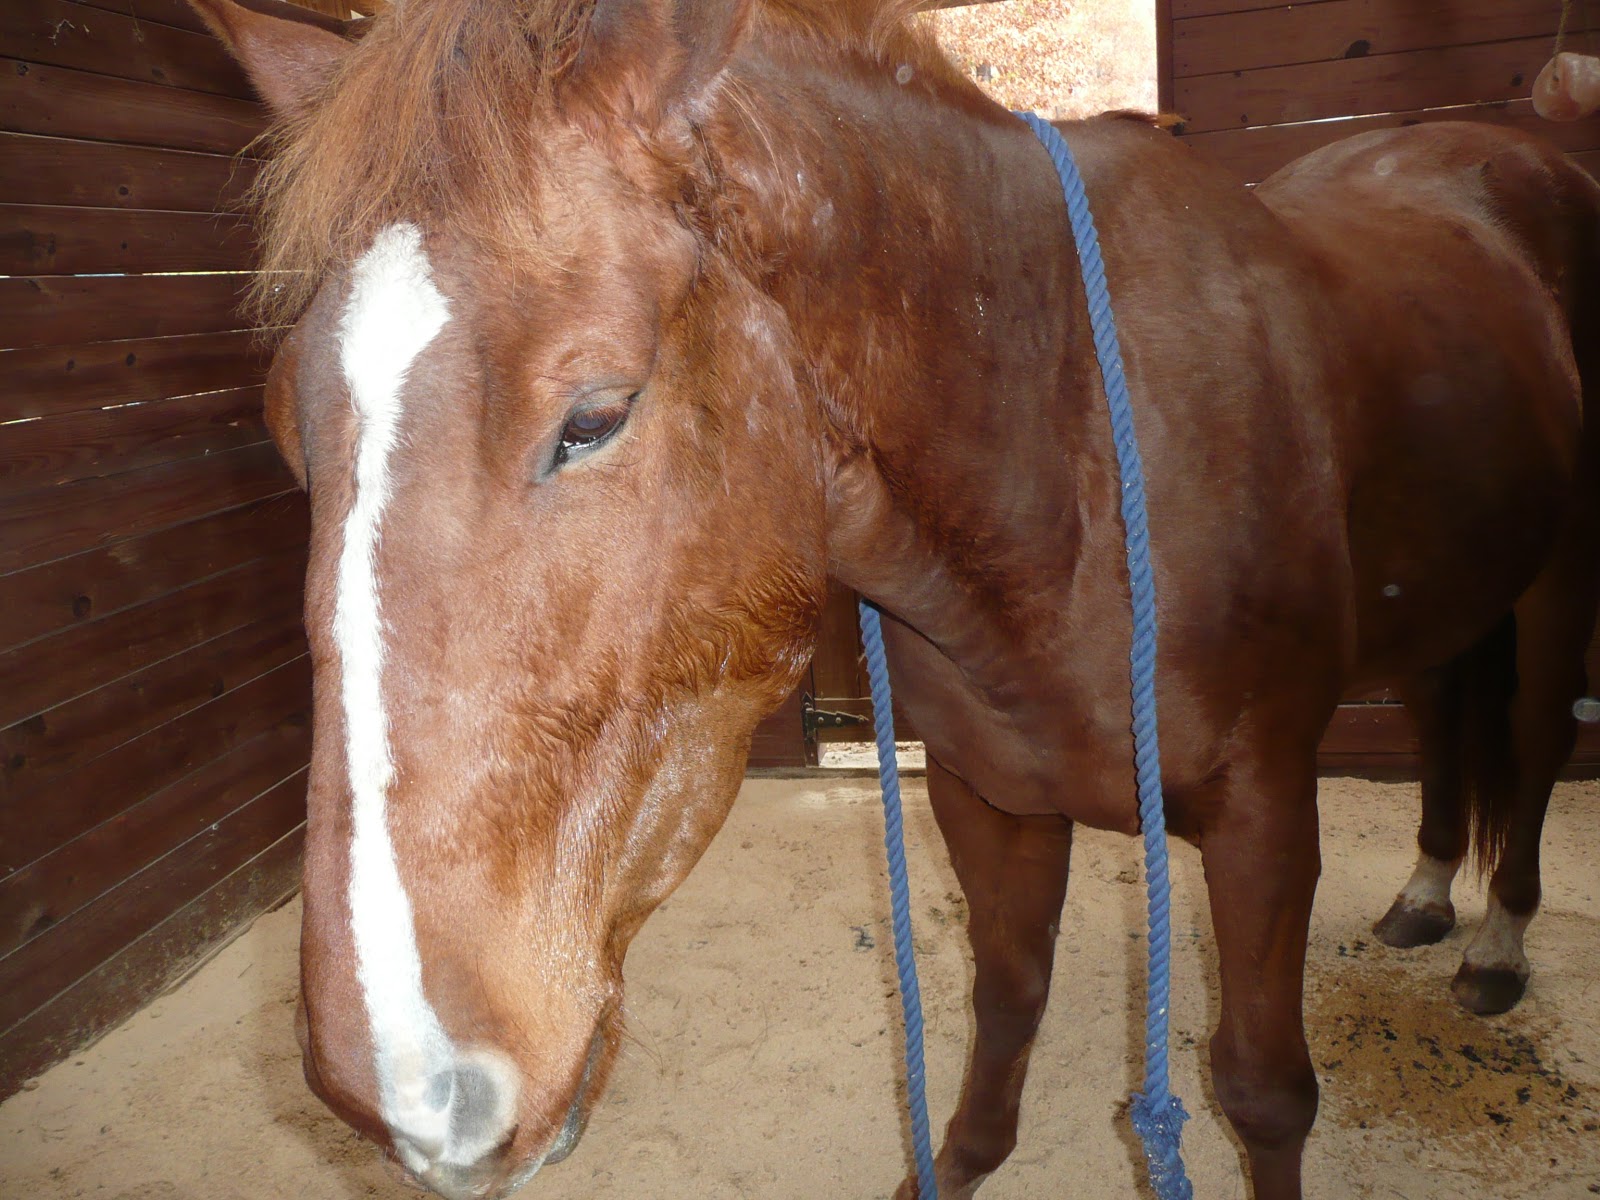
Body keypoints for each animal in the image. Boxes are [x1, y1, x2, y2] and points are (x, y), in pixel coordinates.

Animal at [188, 0, 1600, 1197]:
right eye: (288, 435)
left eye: (593, 418)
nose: (408, 1089)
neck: (1068, 451)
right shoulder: (985, 797)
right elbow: (1001, 1017)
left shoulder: (1262, 813)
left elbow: (1259, 1092)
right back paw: (1425, 895)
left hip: (1552, 592)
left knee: (1530, 750)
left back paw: (1494, 943)